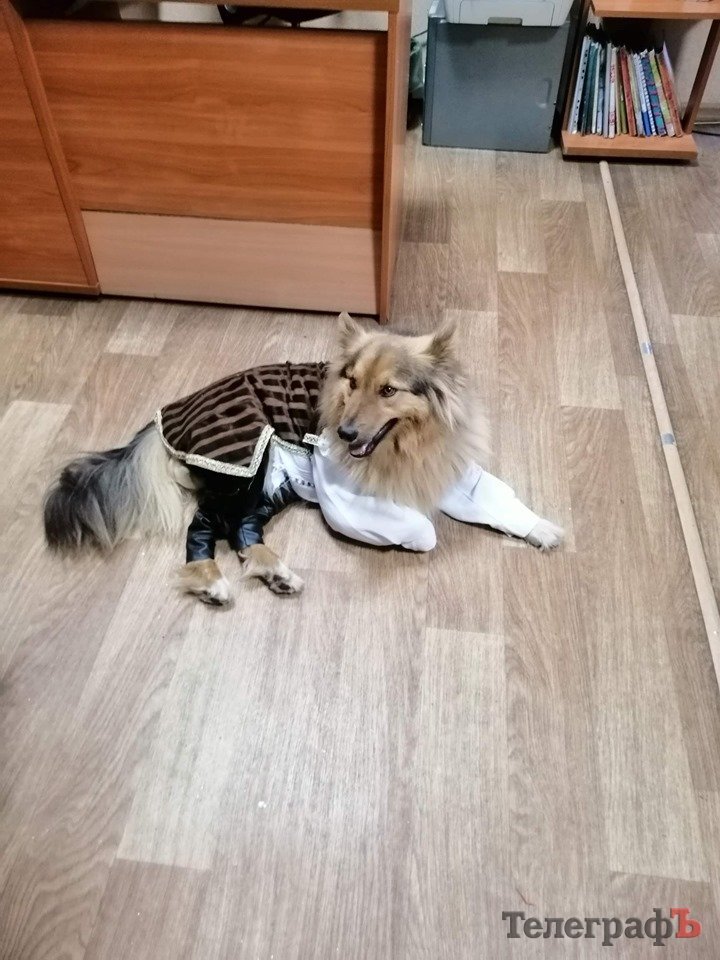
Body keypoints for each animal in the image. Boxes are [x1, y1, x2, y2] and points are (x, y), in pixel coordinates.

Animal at [43, 314, 562, 602]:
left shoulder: (453, 473)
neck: (406, 444)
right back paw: (212, 582)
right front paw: (417, 536)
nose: (345, 432)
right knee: (204, 526)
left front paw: (544, 530)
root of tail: (165, 418)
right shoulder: (342, 500)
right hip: (245, 465)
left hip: (268, 486)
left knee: (240, 529)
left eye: (388, 390)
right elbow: (422, 529)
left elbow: (497, 500)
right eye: (351, 381)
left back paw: (276, 573)